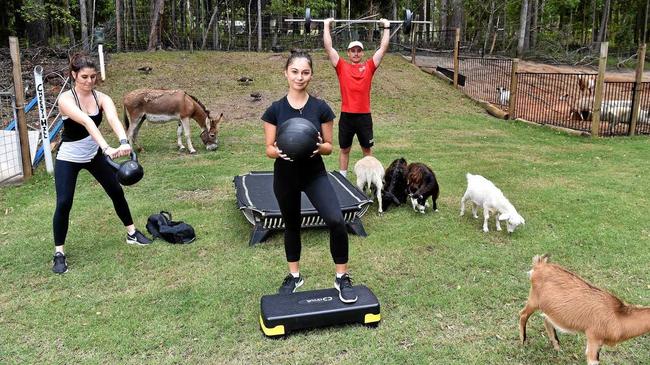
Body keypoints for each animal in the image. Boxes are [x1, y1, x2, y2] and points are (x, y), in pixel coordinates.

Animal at [520, 253, 650, 364]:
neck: (618, 316)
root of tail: (539, 265)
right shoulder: (593, 336)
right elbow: (592, 360)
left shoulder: (599, 342)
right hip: (533, 300)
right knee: (523, 314)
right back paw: (523, 343)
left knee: (547, 320)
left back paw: (557, 347)